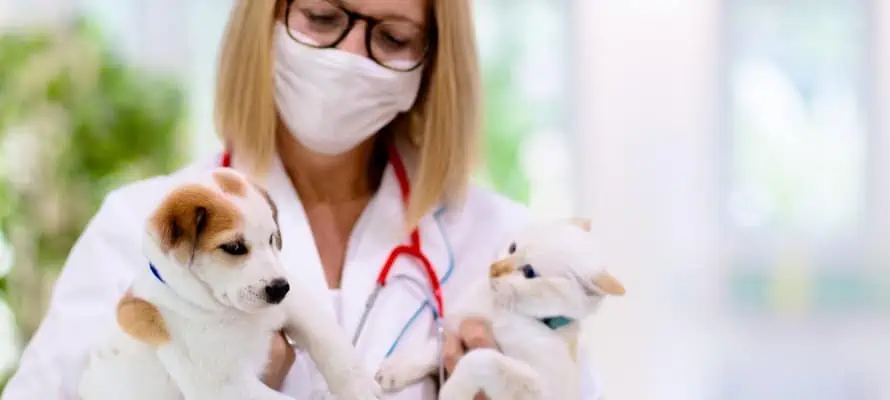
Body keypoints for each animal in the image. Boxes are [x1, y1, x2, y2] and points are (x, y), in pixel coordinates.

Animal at [78, 169, 380, 400]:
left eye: (272, 238)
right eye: (234, 247)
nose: (279, 288)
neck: (230, 312)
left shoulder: (297, 305)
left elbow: (331, 344)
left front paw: (361, 388)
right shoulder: (225, 385)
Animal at [374, 219, 624, 400]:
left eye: (529, 272)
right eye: (512, 247)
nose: (494, 269)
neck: (502, 310)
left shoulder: (540, 388)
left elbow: (480, 359)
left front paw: (453, 391)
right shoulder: (455, 330)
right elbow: (433, 346)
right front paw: (396, 369)